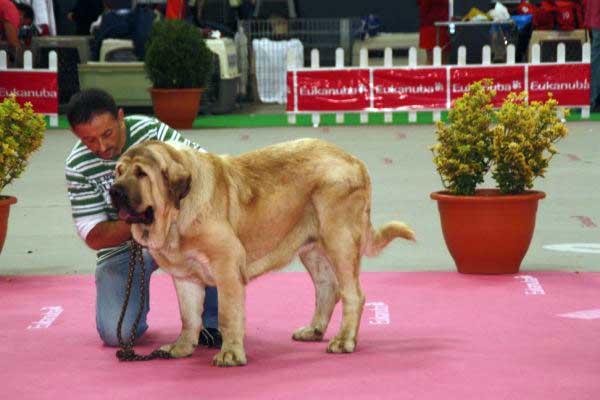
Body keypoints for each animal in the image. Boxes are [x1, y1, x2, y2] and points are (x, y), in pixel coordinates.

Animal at [110, 139, 414, 368]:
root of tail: (354, 160)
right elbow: (188, 317)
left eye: (141, 174)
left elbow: (228, 314)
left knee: (353, 294)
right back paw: (314, 330)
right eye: (118, 172)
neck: (176, 214)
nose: (114, 190)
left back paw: (344, 340)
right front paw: (181, 348)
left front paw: (231, 354)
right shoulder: (185, 277)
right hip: (313, 250)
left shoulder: (227, 266)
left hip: (339, 240)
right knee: (327, 289)